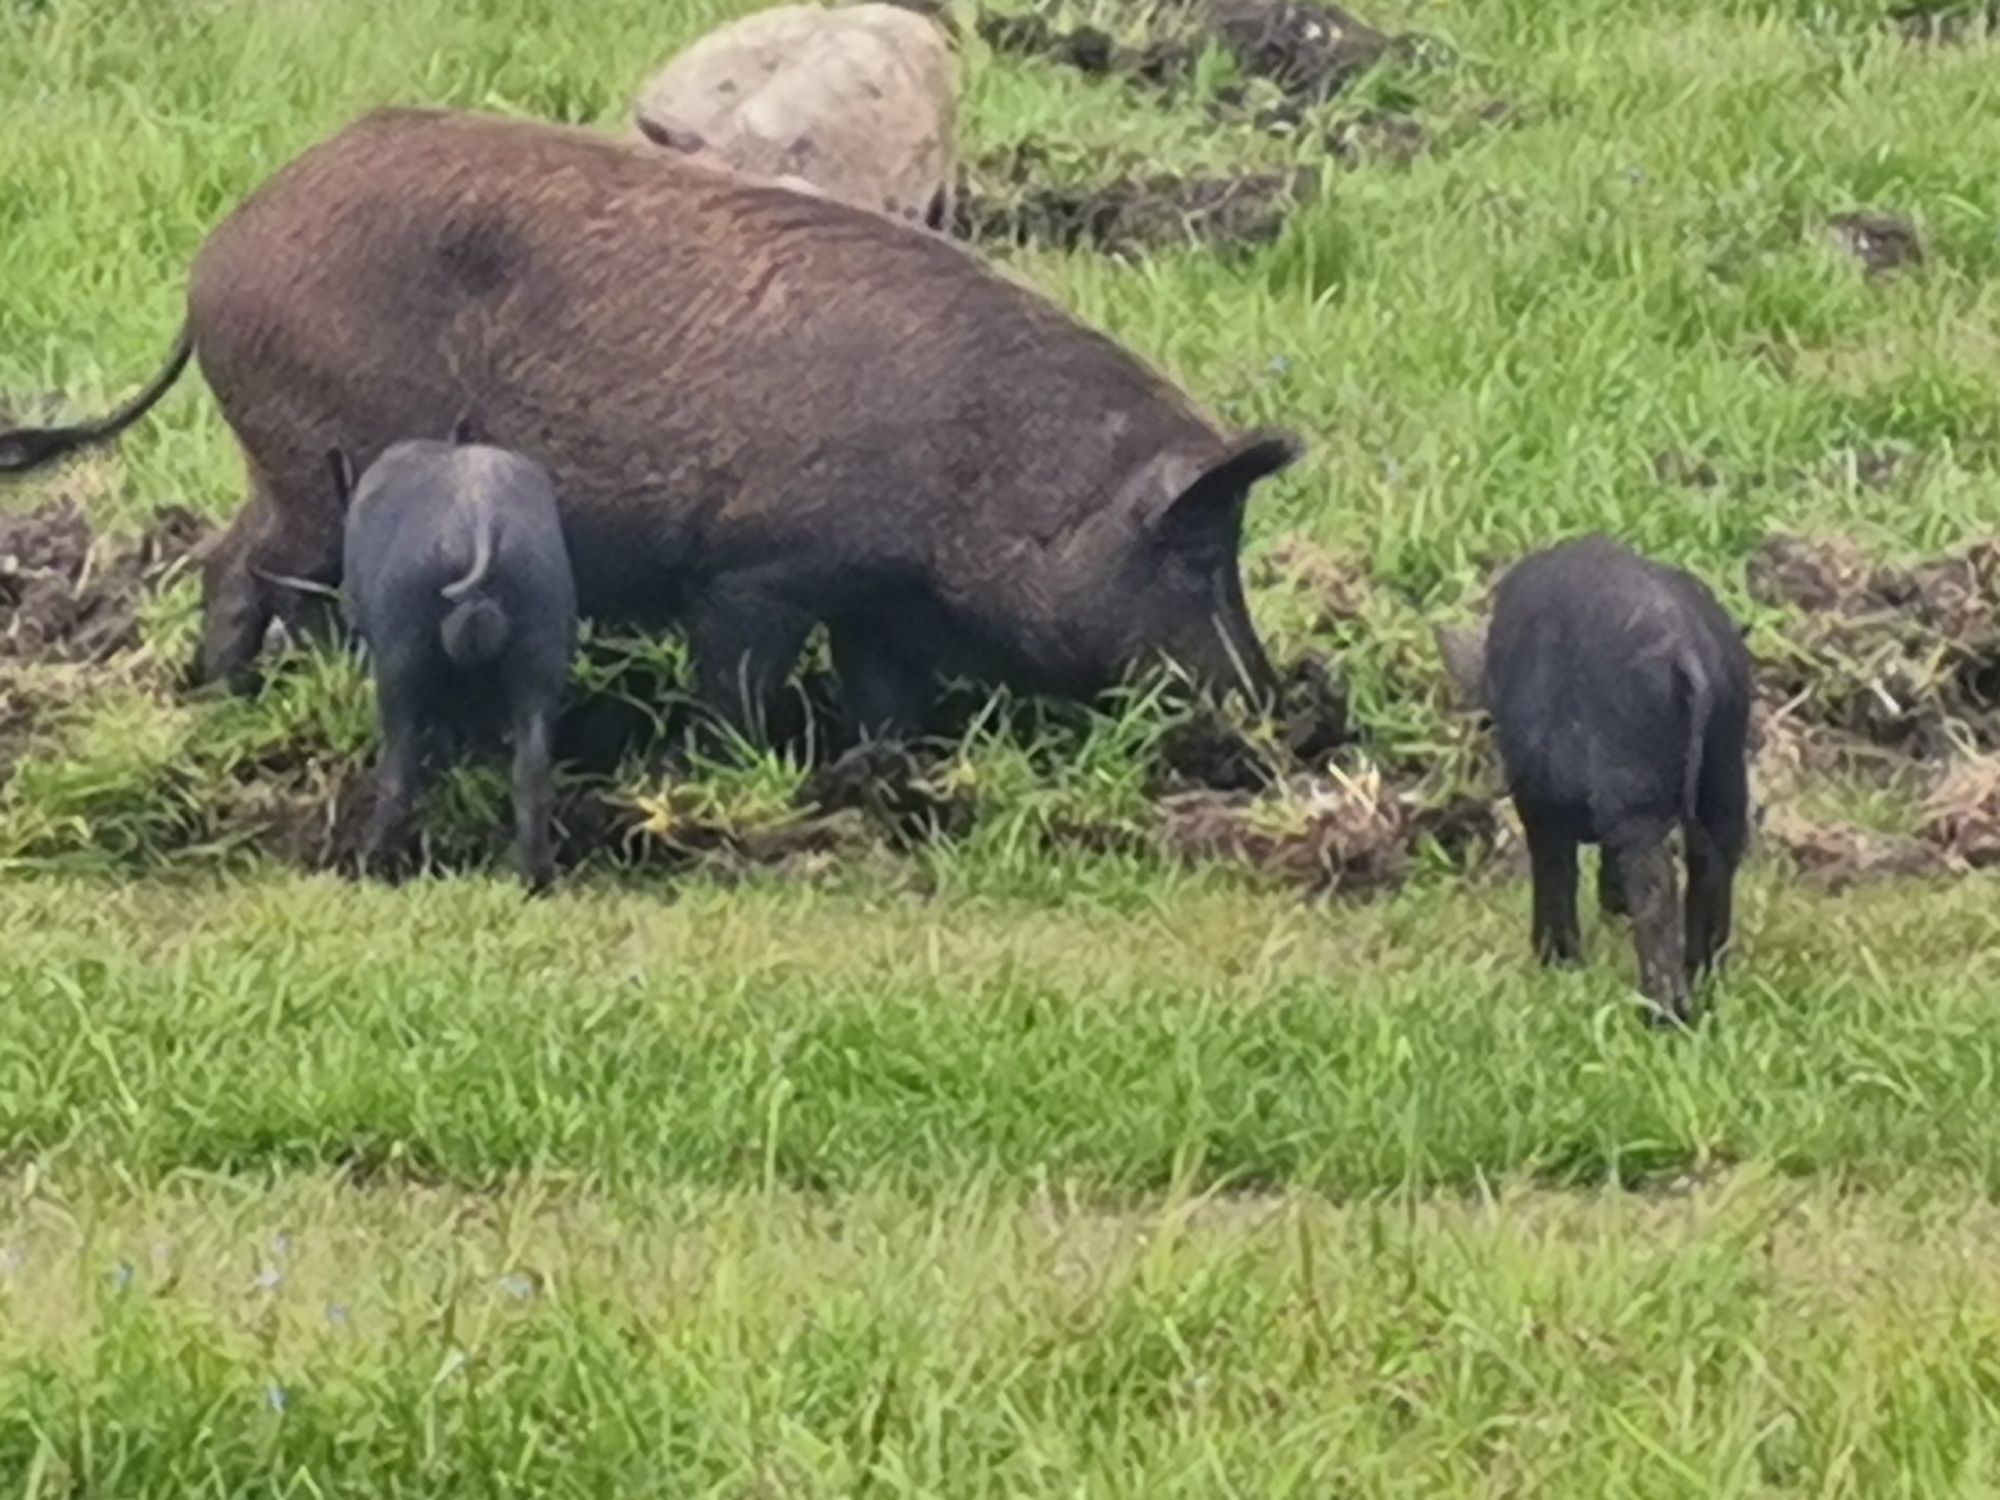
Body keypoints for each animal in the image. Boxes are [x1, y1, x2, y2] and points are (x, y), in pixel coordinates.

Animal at [0, 106, 1304, 740]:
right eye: (1195, 552)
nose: (1276, 706)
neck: (992, 482)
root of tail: (220, 250)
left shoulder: (876, 599)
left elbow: (888, 698)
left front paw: (886, 776)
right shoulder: (754, 567)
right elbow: (739, 680)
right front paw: (751, 762)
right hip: (310, 451)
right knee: (241, 569)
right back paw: (222, 703)